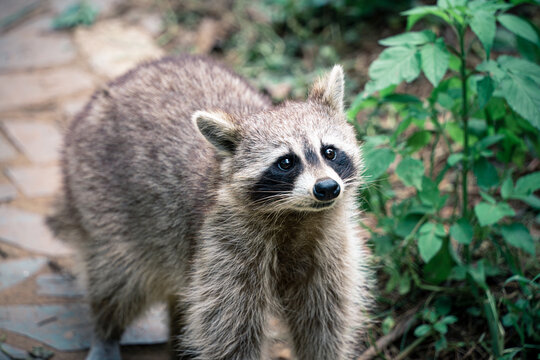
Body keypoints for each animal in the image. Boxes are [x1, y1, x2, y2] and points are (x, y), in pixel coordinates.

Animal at [46, 56, 372, 360]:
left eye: (329, 152)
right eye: (286, 162)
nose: (326, 188)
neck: (297, 215)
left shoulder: (329, 248)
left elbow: (324, 318)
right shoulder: (225, 245)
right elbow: (228, 329)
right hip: (99, 197)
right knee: (118, 278)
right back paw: (106, 332)